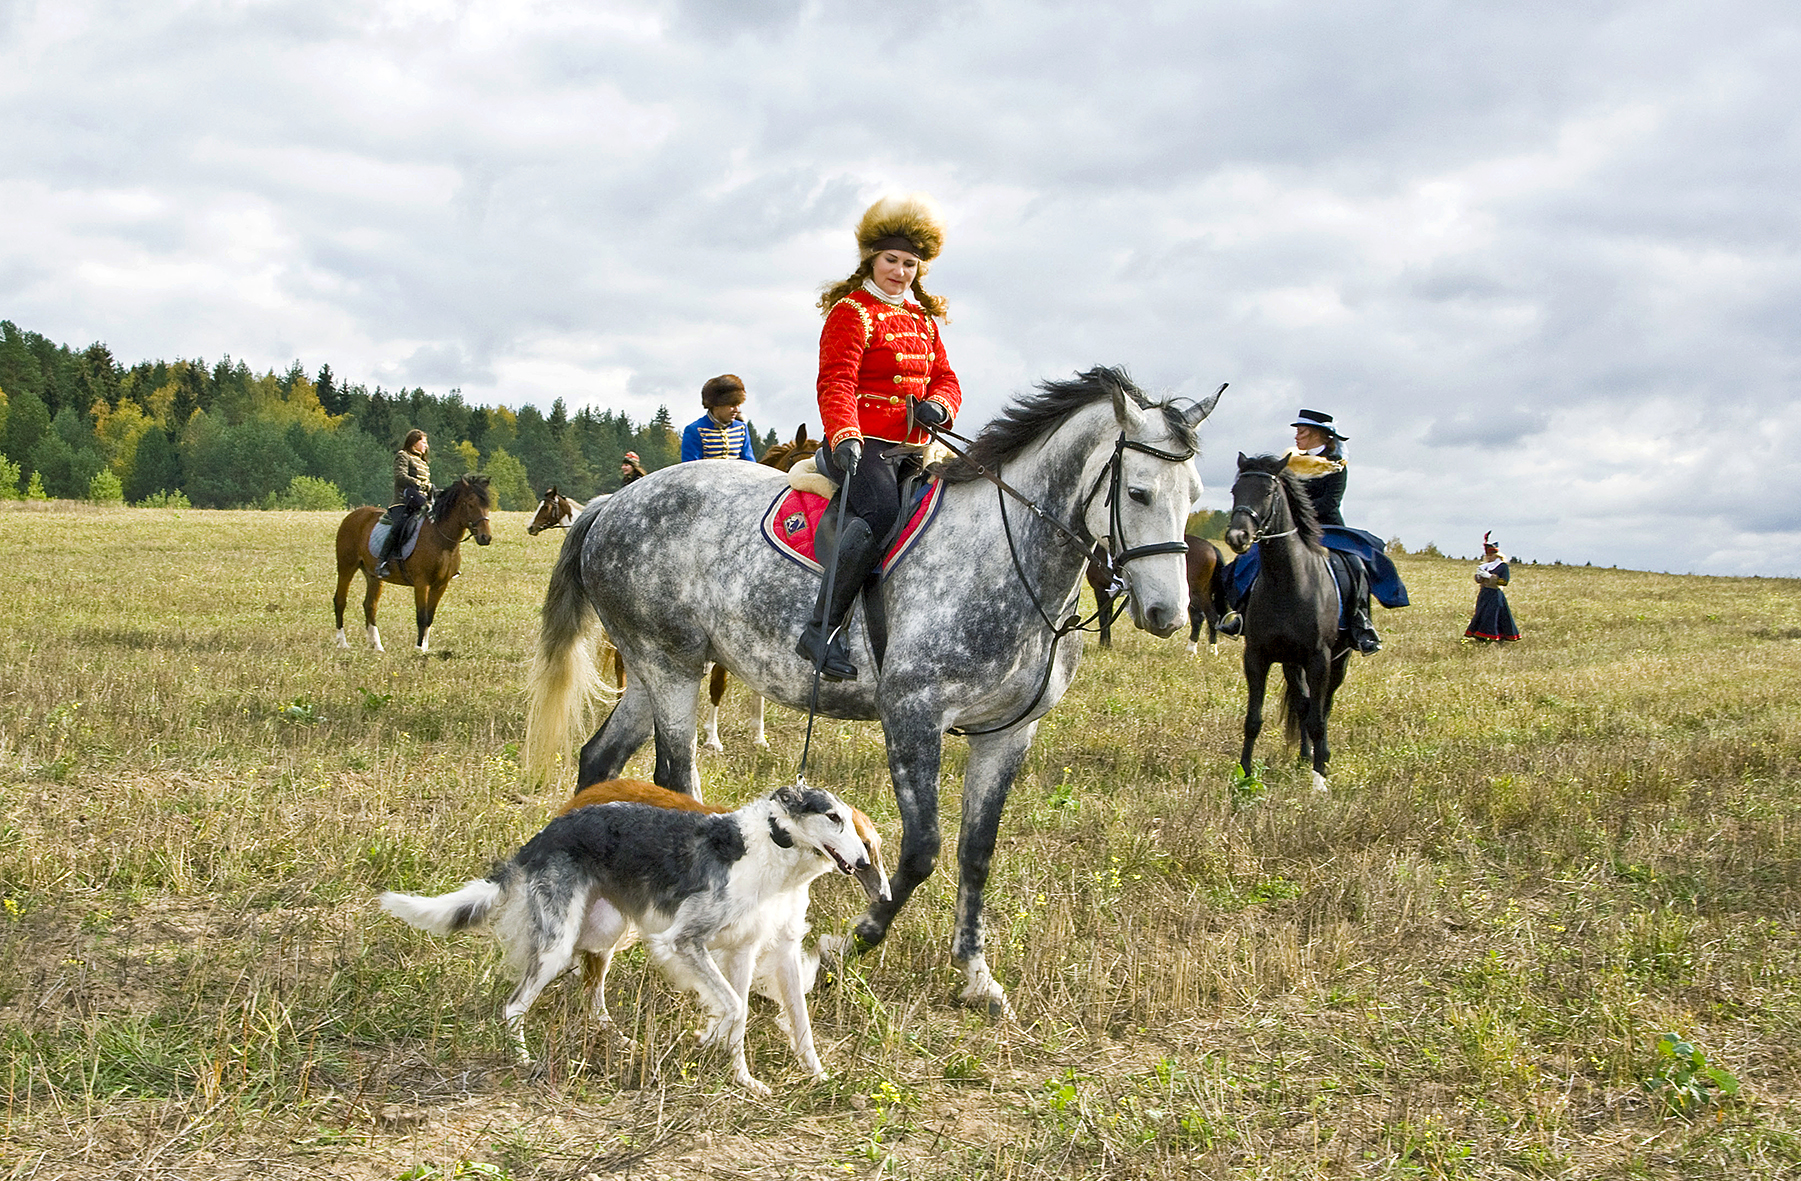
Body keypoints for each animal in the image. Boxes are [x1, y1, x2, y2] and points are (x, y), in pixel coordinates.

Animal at [334, 471, 493, 655]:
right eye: (470, 504)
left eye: (487, 505)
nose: (485, 537)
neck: (441, 539)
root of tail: (354, 515)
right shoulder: (421, 583)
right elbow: (421, 616)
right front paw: (418, 649)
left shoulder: (440, 585)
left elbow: (430, 617)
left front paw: (425, 648)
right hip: (346, 567)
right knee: (340, 601)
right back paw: (342, 643)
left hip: (374, 576)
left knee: (370, 605)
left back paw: (377, 646)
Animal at [525, 367, 1224, 1015]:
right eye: (1137, 492)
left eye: (1193, 493)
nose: (1167, 614)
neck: (1004, 555)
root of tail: (615, 505)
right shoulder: (913, 715)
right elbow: (921, 851)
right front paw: (848, 943)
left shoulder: (1007, 734)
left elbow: (976, 851)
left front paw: (977, 977)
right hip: (671, 668)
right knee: (676, 778)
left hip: (652, 672)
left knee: (599, 759)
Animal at [1224, 451, 1354, 792]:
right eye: (1235, 491)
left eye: (1268, 492)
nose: (1237, 537)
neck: (1288, 582)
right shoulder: (1257, 656)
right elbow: (1253, 719)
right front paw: (1245, 771)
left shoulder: (1320, 659)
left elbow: (1319, 719)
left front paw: (1320, 779)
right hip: (1292, 664)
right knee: (1303, 703)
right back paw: (1305, 756)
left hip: (1339, 660)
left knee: (1324, 706)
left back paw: (1321, 757)